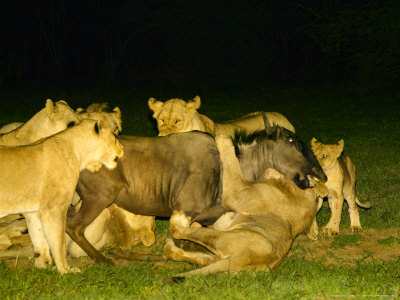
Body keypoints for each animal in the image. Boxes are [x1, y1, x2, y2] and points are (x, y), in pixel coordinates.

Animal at [0, 119, 123, 274]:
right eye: (115, 139)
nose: (123, 148)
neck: (79, 153)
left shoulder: (33, 211)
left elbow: (39, 238)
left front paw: (44, 264)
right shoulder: (54, 209)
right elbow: (58, 243)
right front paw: (65, 270)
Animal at [163, 135, 328, 276]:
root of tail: (243, 259)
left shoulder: (238, 194)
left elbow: (233, 166)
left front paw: (224, 140)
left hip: (225, 235)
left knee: (177, 231)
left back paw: (178, 223)